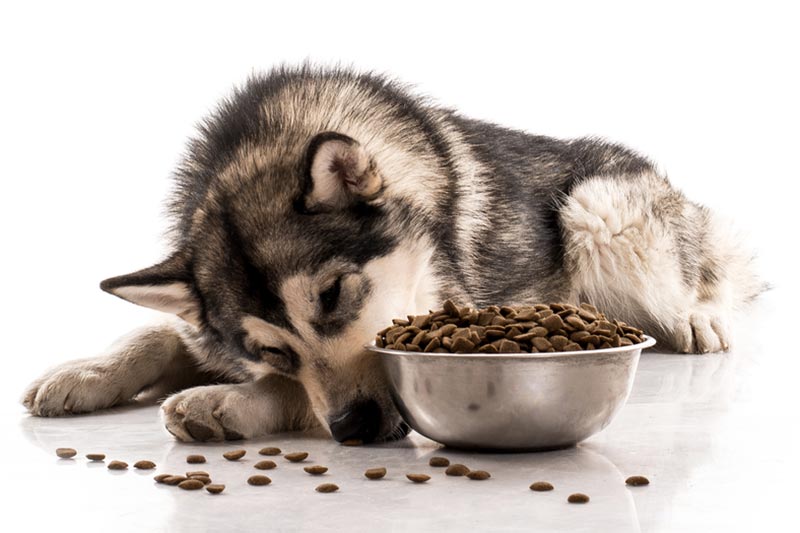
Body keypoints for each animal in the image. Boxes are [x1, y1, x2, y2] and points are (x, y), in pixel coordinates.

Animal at [21, 64, 764, 442]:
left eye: (332, 295)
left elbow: (295, 394)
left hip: (598, 209)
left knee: (710, 271)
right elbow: (155, 334)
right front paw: (84, 371)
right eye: (269, 346)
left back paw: (700, 313)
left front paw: (223, 403)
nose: (357, 426)